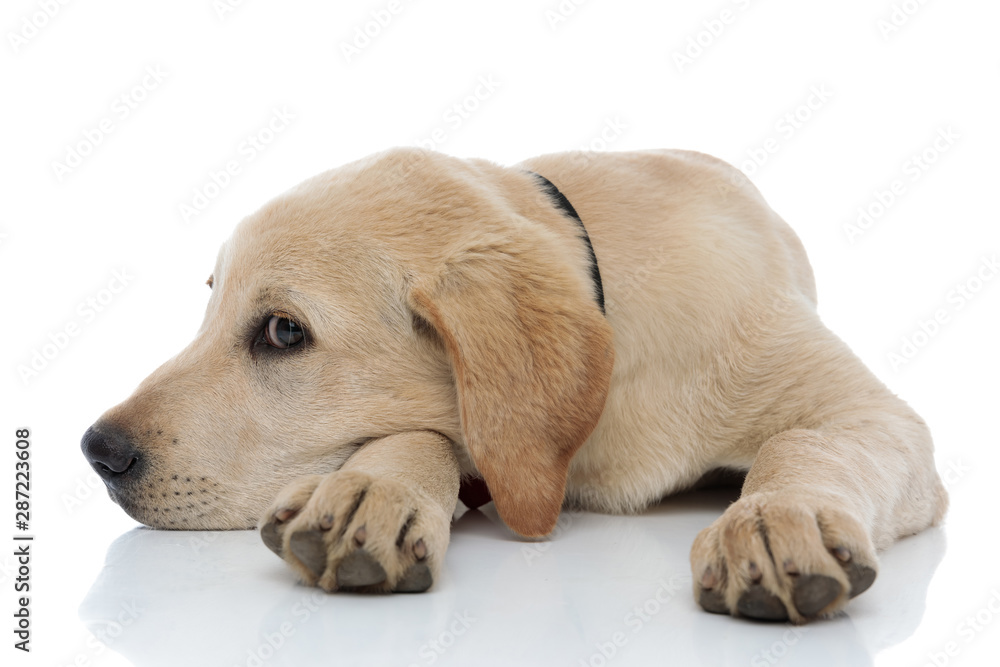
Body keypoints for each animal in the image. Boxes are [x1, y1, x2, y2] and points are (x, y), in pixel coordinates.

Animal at [81, 147, 947, 621]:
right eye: (209, 305)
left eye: (284, 333)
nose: (98, 451)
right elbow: (430, 437)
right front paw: (371, 489)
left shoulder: (872, 414)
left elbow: (804, 443)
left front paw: (771, 521)